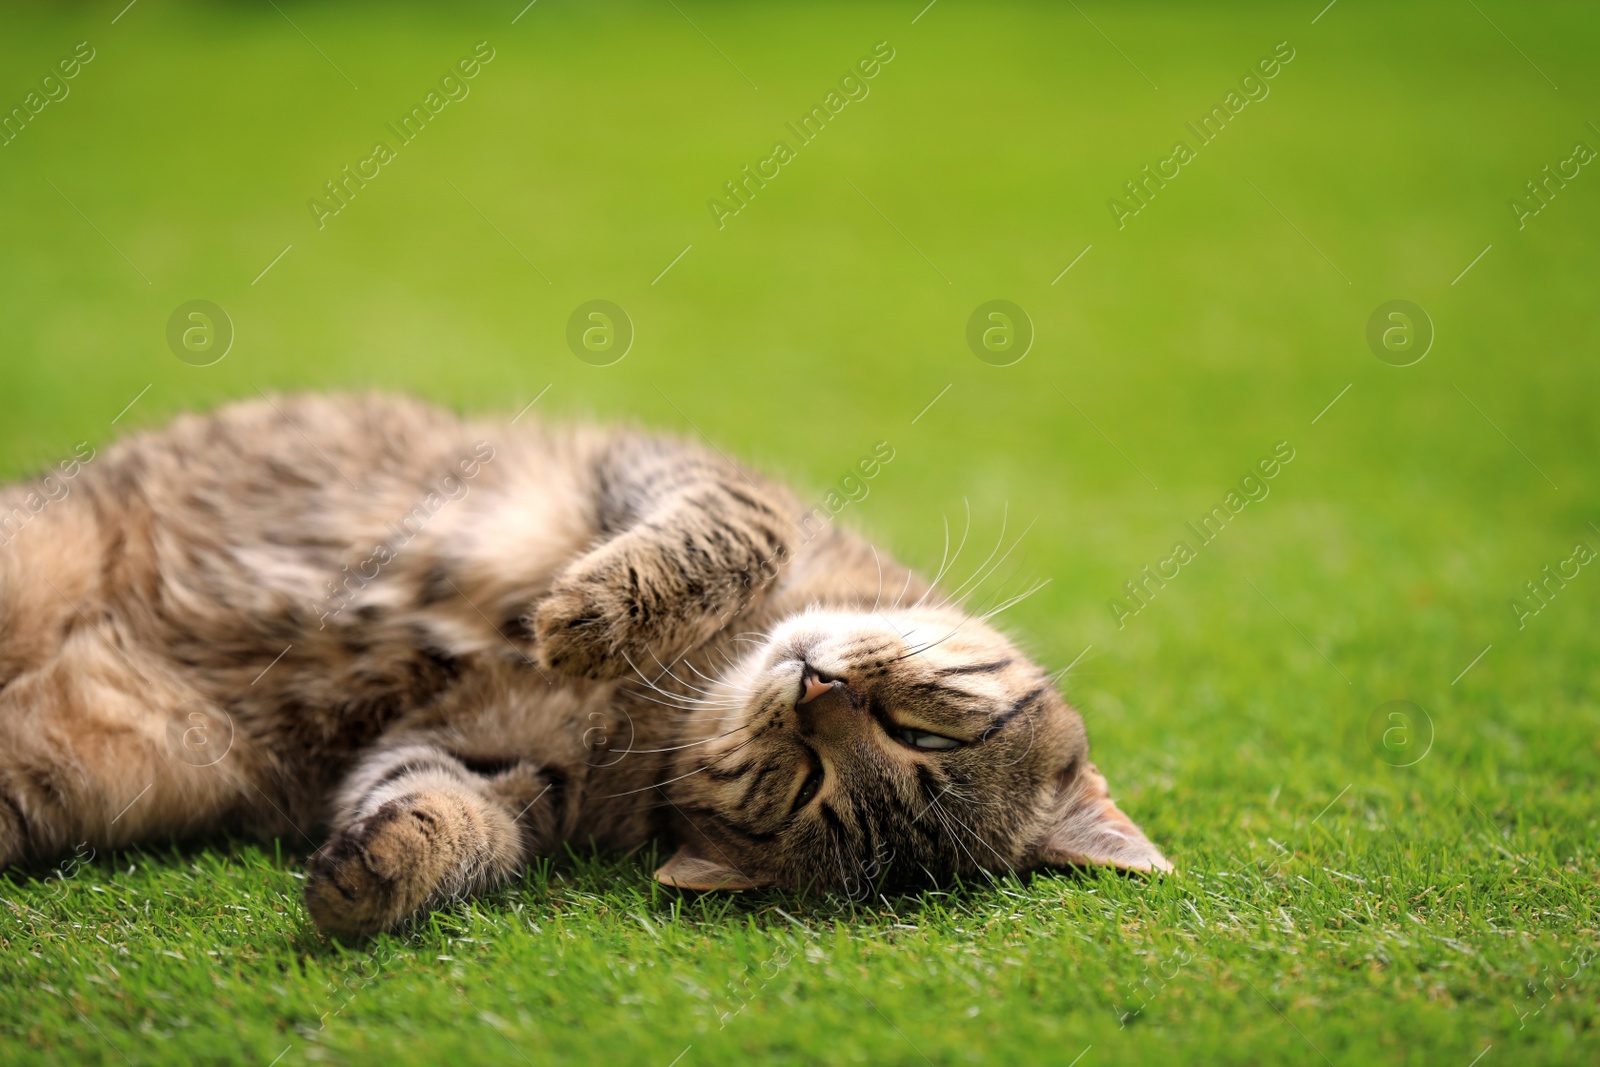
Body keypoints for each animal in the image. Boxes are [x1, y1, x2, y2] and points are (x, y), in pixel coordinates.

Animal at [3, 395, 1177, 934]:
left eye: (811, 784)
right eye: (918, 729)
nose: (819, 688)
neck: (679, 691)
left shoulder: (487, 760)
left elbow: (449, 817)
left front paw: (374, 875)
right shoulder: (683, 473)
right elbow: (728, 534)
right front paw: (591, 610)